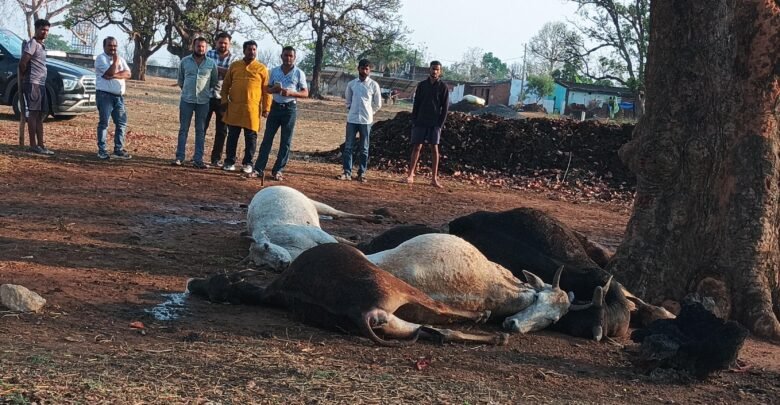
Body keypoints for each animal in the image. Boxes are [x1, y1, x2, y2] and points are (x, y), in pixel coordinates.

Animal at [188, 243, 509, 346]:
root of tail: (359, 312)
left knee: (436, 332)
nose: (192, 283)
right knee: (440, 313)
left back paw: (496, 337)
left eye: (217, 281)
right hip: (397, 290)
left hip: (392, 323)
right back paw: (487, 321)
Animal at [244, 186, 380, 272]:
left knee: (338, 213)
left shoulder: (317, 234)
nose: (281, 264)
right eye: (261, 265)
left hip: (315, 204)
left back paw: (375, 218)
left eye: (266, 246)